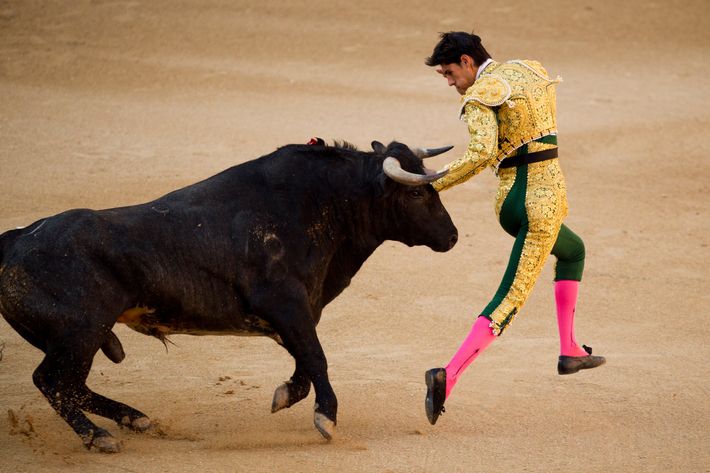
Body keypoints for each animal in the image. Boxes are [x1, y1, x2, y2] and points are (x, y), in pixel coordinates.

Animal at [0, 139, 458, 450]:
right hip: (80, 333)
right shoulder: (286, 304)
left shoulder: (297, 313)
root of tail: (16, 240)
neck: (322, 205)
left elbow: (305, 362)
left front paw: (285, 396)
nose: (452, 236)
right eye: (417, 192)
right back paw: (98, 436)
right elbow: (316, 357)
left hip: (83, 338)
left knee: (70, 385)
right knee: (53, 382)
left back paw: (135, 420)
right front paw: (326, 417)